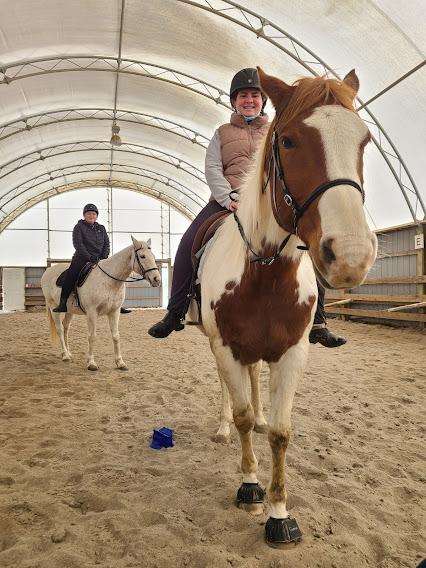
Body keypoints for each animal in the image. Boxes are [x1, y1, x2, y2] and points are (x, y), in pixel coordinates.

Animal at [41, 236, 160, 372]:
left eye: (153, 255)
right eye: (142, 256)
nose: (157, 279)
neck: (108, 280)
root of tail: (48, 271)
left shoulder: (114, 312)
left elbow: (116, 336)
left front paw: (120, 363)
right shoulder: (92, 313)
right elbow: (92, 336)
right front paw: (91, 363)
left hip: (70, 311)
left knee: (66, 327)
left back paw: (68, 353)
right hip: (53, 307)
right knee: (60, 329)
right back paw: (65, 355)